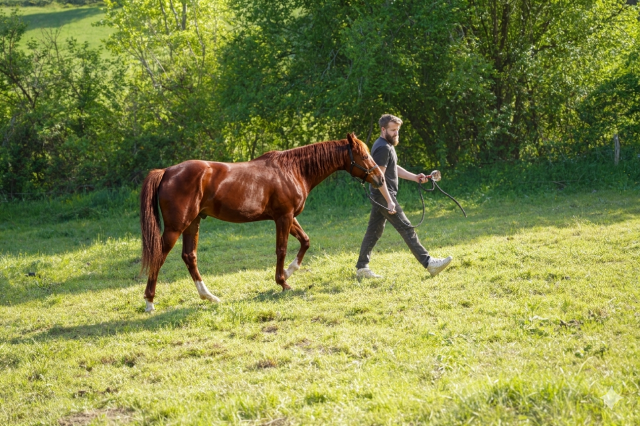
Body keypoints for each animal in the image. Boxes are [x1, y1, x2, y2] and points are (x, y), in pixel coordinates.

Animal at [139, 133, 385, 312]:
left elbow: (305, 241)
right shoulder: (283, 217)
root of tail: (167, 171)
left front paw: (288, 272)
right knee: (159, 256)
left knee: (189, 257)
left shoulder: (289, 217)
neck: (292, 170)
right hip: (176, 227)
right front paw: (283, 282)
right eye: (364, 156)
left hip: (193, 223)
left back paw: (208, 296)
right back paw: (150, 302)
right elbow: (281, 249)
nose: (380, 178)